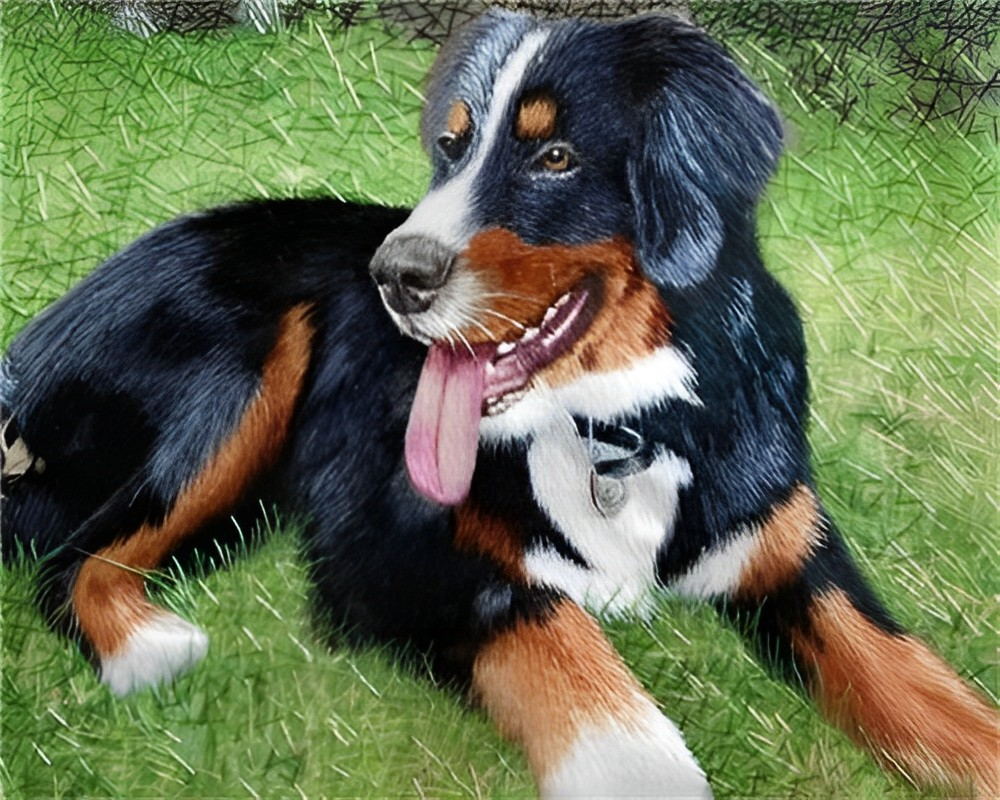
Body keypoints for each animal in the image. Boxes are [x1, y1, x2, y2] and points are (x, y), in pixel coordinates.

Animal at [3, 9, 996, 796]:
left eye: (555, 156)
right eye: (450, 146)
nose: (393, 277)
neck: (610, 426)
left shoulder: (794, 556)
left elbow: (924, 688)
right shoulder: (386, 548)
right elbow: (554, 635)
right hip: (249, 368)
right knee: (72, 559)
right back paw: (147, 649)